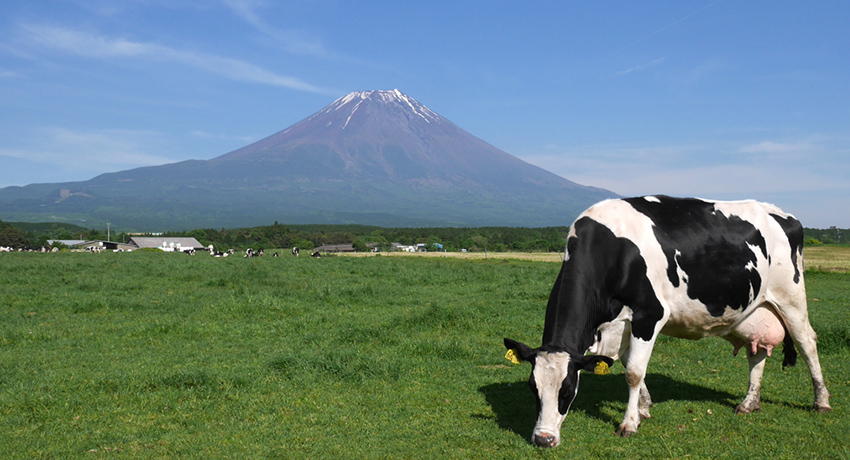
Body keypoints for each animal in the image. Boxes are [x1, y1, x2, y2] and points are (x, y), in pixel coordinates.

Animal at [504, 196, 828, 448]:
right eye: (533, 388)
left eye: (567, 390)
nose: (543, 439)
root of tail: (786, 215)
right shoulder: (621, 324)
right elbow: (629, 364)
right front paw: (644, 407)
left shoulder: (650, 314)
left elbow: (633, 372)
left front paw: (629, 423)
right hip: (754, 309)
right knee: (757, 354)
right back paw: (749, 403)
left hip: (791, 298)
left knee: (807, 343)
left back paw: (821, 401)